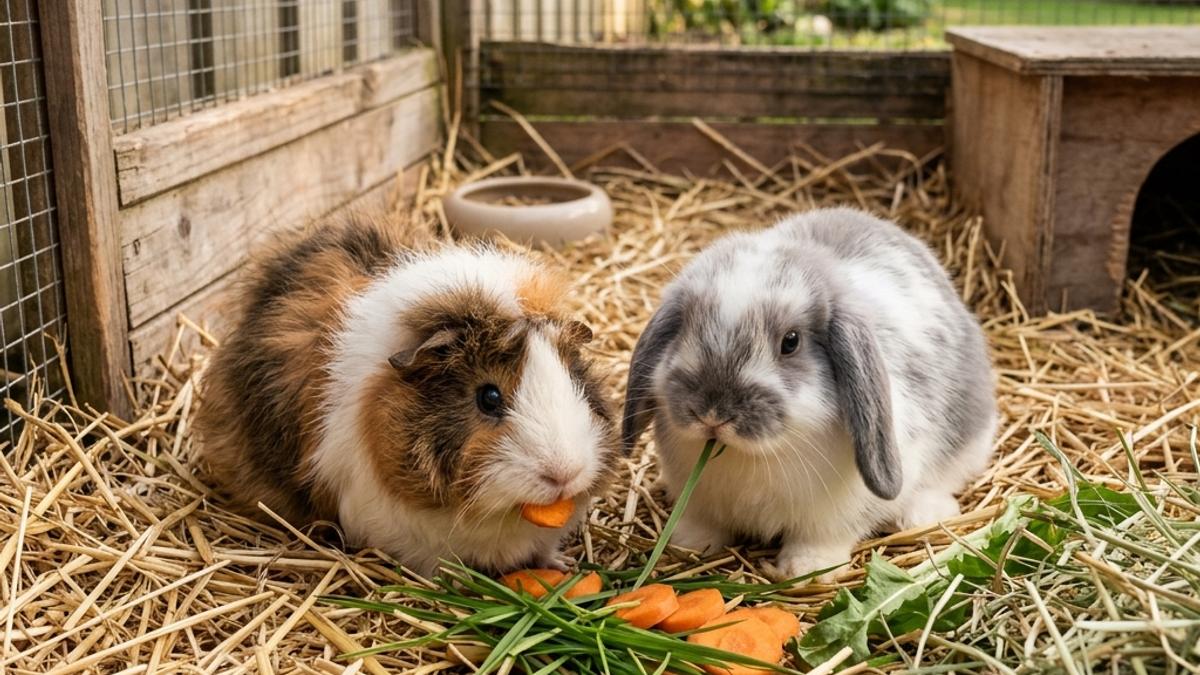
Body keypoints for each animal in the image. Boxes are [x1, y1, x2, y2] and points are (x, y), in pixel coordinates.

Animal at [621, 207, 996, 582]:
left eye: (791, 341)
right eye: (685, 327)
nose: (713, 413)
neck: (757, 456)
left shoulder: (833, 516)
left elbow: (820, 539)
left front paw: (806, 569)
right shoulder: (701, 502)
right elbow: (704, 525)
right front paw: (688, 543)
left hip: (970, 438)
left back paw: (923, 513)